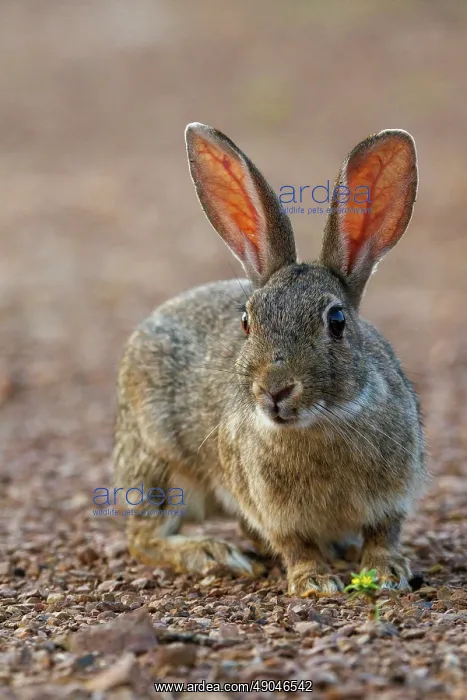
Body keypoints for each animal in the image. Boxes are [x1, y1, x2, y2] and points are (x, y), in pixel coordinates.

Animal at [113, 122, 426, 595]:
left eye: (337, 320)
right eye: (247, 321)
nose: (274, 390)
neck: (320, 423)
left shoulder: (393, 495)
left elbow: (383, 534)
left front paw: (387, 572)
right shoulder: (270, 510)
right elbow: (295, 546)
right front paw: (314, 582)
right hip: (160, 466)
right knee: (144, 536)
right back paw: (212, 553)